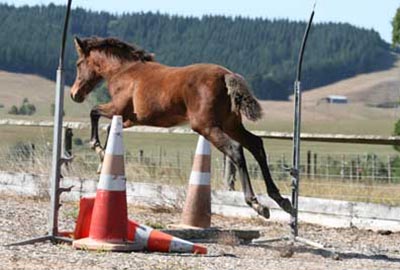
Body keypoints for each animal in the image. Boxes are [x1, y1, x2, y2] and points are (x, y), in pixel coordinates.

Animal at [70, 36, 292, 217]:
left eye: (79, 64)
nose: (74, 94)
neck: (124, 71)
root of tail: (226, 75)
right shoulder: (130, 119)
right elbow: (110, 128)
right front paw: (102, 162)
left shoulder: (117, 109)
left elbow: (94, 112)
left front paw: (97, 148)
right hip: (231, 125)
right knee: (256, 145)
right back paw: (281, 199)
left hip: (207, 127)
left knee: (236, 150)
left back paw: (256, 204)